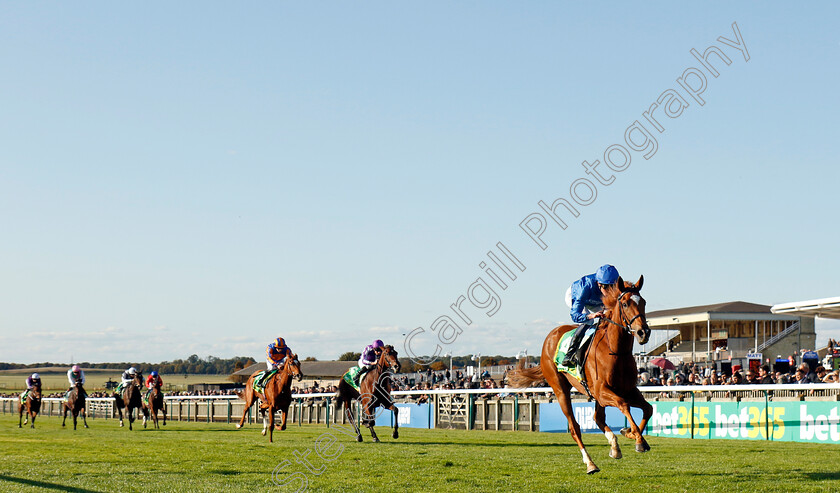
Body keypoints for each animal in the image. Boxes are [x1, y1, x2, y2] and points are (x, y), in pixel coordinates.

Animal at [502, 276, 652, 472]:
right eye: (625, 303)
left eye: (643, 302)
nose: (643, 332)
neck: (616, 351)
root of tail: (549, 339)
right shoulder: (602, 392)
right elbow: (624, 404)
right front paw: (638, 439)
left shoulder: (627, 390)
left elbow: (648, 408)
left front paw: (631, 434)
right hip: (560, 389)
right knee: (575, 427)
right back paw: (590, 463)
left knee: (597, 418)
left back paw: (614, 446)